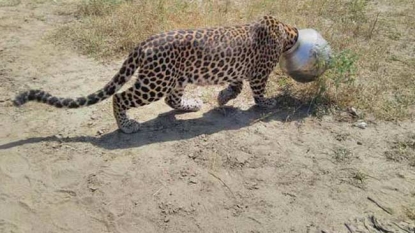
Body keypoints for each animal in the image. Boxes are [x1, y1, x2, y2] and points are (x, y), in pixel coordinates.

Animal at [13, 15, 300, 134]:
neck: (285, 30)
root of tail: (143, 43)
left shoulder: (239, 69)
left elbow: (236, 85)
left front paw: (222, 97)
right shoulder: (259, 73)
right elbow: (258, 92)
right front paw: (268, 102)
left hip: (175, 77)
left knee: (171, 100)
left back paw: (192, 104)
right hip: (155, 82)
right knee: (119, 97)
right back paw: (127, 126)